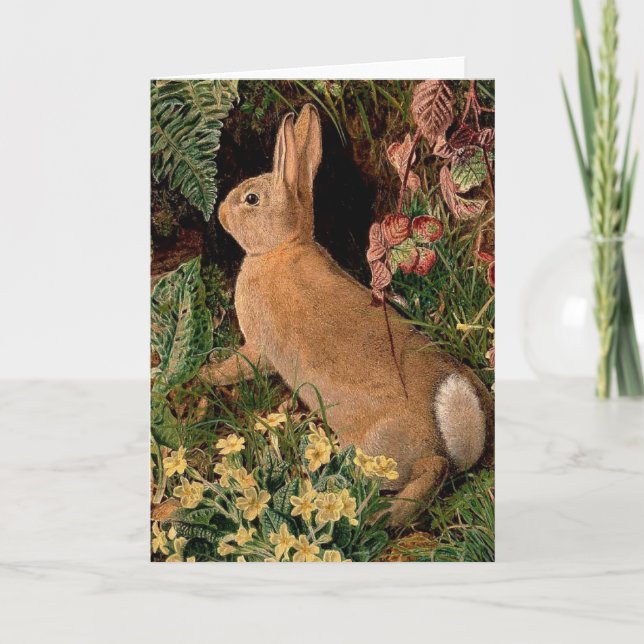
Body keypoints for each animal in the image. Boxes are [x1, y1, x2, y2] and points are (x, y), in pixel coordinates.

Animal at [200, 103, 494, 526]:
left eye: (251, 198)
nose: (221, 212)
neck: (280, 248)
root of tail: (454, 428)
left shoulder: (258, 348)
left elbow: (237, 367)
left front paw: (205, 374)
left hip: (380, 448)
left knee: (430, 469)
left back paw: (385, 515)